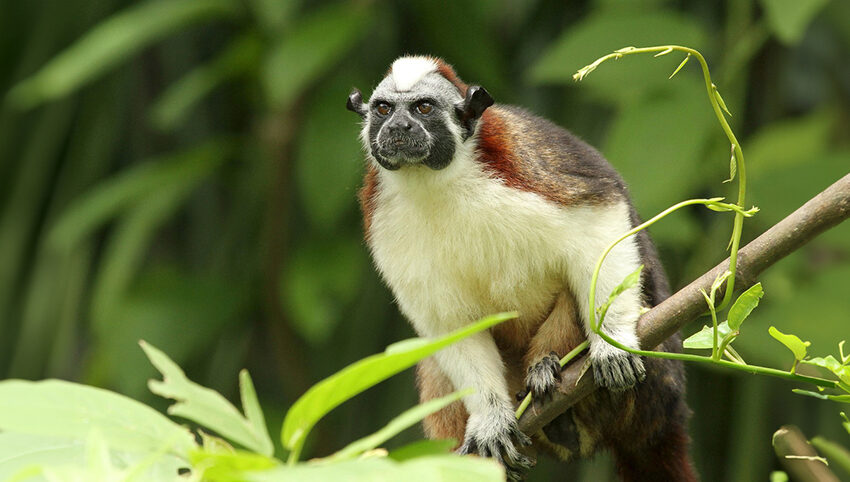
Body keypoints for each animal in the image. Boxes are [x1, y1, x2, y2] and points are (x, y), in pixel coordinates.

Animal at [344, 57, 696, 482]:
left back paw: (548, 371)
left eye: (422, 108)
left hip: (654, 388)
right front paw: (490, 419)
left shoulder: (523, 169)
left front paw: (610, 341)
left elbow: (600, 215)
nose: (397, 128)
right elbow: (447, 323)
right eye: (383, 110)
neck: (434, 180)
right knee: (434, 359)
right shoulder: (382, 220)